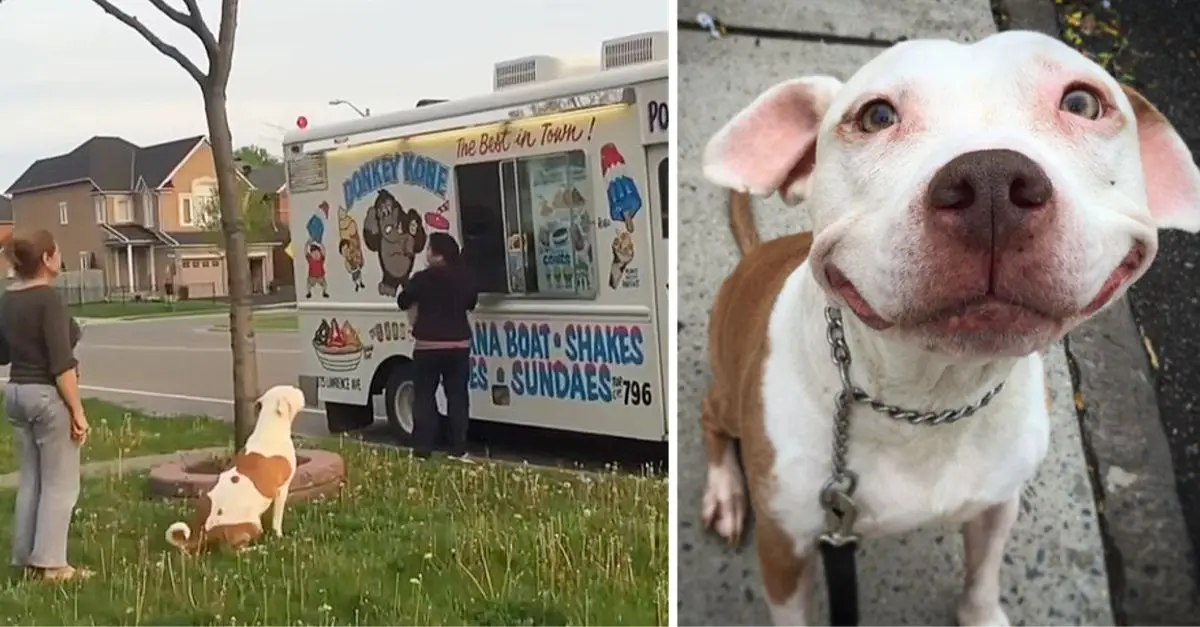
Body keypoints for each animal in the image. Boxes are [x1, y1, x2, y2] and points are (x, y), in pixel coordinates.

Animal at [166, 379, 307, 552]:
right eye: (291, 390)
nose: (299, 389)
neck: (270, 428)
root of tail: (203, 531)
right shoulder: (282, 490)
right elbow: (277, 519)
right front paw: (278, 536)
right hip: (251, 524)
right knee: (234, 550)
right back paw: (259, 549)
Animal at [700, 29, 1200, 624]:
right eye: (876, 116)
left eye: (1082, 103)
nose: (991, 182)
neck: (931, 398)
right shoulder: (784, 548)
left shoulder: (997, 503)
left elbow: (982, 576)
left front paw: (981, 613)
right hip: (729, 396)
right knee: (710, 418)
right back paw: (725, 493)